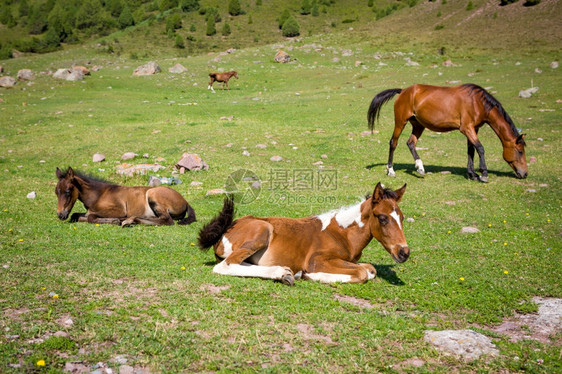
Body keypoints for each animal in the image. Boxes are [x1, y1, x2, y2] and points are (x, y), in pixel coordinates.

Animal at [54, 168, 195, 226]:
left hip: (153, 194)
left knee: (167, 220)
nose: (60, 215)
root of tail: (185, 201)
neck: (99, 194)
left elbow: (91, 217)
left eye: (68, 191)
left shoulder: (119, 210)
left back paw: (127, 220)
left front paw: (114, 220)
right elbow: (76, 216)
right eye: (56, 192)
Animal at [197, 183, 406, 284]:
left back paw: (285, 274)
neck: (343, 234)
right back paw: (284, 273)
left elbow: (370, 269)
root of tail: (225, 230)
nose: (404, 253)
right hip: (263, 230)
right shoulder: (318, 260)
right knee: (225, 265)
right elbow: (363, 273)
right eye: (382, 218)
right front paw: (311, 276)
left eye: (402, 217)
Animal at [366, 85, 528, 184]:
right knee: (393, 143)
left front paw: (472, 174)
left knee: (411, 143)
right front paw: (483, 174)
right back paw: (391, 170)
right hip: (401, 122)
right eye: (520, 151)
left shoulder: (473, 129)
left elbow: (471, 150)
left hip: (418, 125)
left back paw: (420, 167)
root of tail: (403, 91)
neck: (477, 102)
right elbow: (480, 148)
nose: (525, 174)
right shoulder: (467, 128)